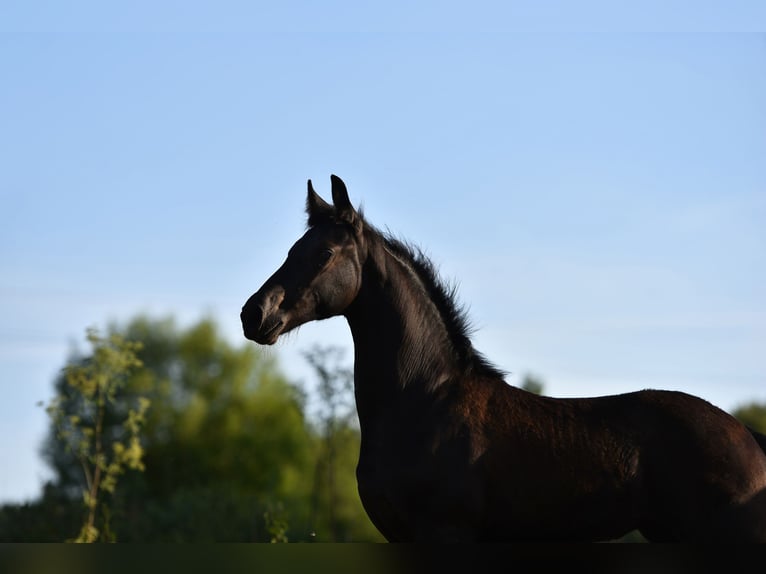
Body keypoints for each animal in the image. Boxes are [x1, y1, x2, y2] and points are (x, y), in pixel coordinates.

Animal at [241, 174, 766, 542]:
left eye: (325, 254)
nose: (254, 314)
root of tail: (748, 435)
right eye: (292, 249)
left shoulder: (446, 536)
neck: (422, 403)